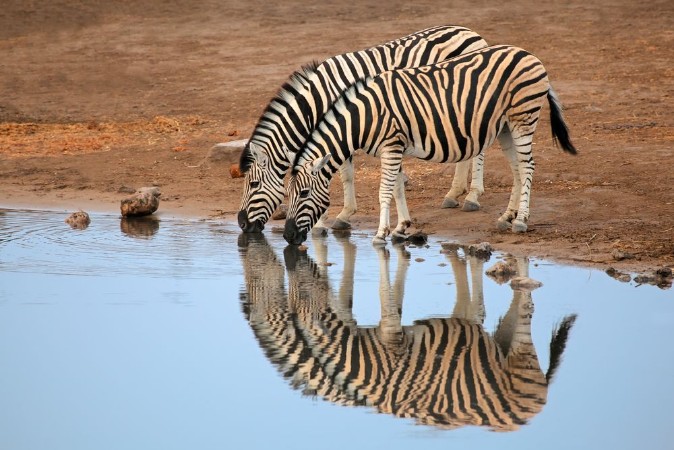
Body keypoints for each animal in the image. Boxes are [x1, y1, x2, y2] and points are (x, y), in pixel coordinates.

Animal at [237, 25, 489, 234]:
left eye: (253, 184)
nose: (241, 223)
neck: (317, 101)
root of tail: (471, 32)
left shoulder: (342, 127)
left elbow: (344, 175)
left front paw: (329, 220)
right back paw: (453, 194)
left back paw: (472, 197)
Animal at [283, 44, 578, 246]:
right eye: (288, 194)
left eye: (304, 193)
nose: (287, 236)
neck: (365, 116)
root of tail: (528, 54)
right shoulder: (395, 148)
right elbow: (398, 188)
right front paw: (401, 227)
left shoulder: (391, 146)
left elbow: (384, 191)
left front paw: (381, 233)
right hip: (505, 126)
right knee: (517, 168)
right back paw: (507, 217)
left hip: (523, 118)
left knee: (528, 166)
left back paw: (521, 221)